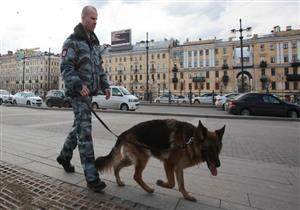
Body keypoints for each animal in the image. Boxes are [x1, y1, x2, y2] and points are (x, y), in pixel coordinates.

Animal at [96, 119, 225, 201]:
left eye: (218, 148)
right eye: (209, 148)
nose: (218, 164)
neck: (190, 141)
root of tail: (126, 131)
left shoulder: (179, 168)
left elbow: (181, 184)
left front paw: (186, 196)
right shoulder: (168, 163)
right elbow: (172, 183)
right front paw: (160, 183)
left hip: (131, 160)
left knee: (116, 166)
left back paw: (119, 182)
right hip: (143, 158)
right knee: (136, 176)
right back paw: (148, 189)